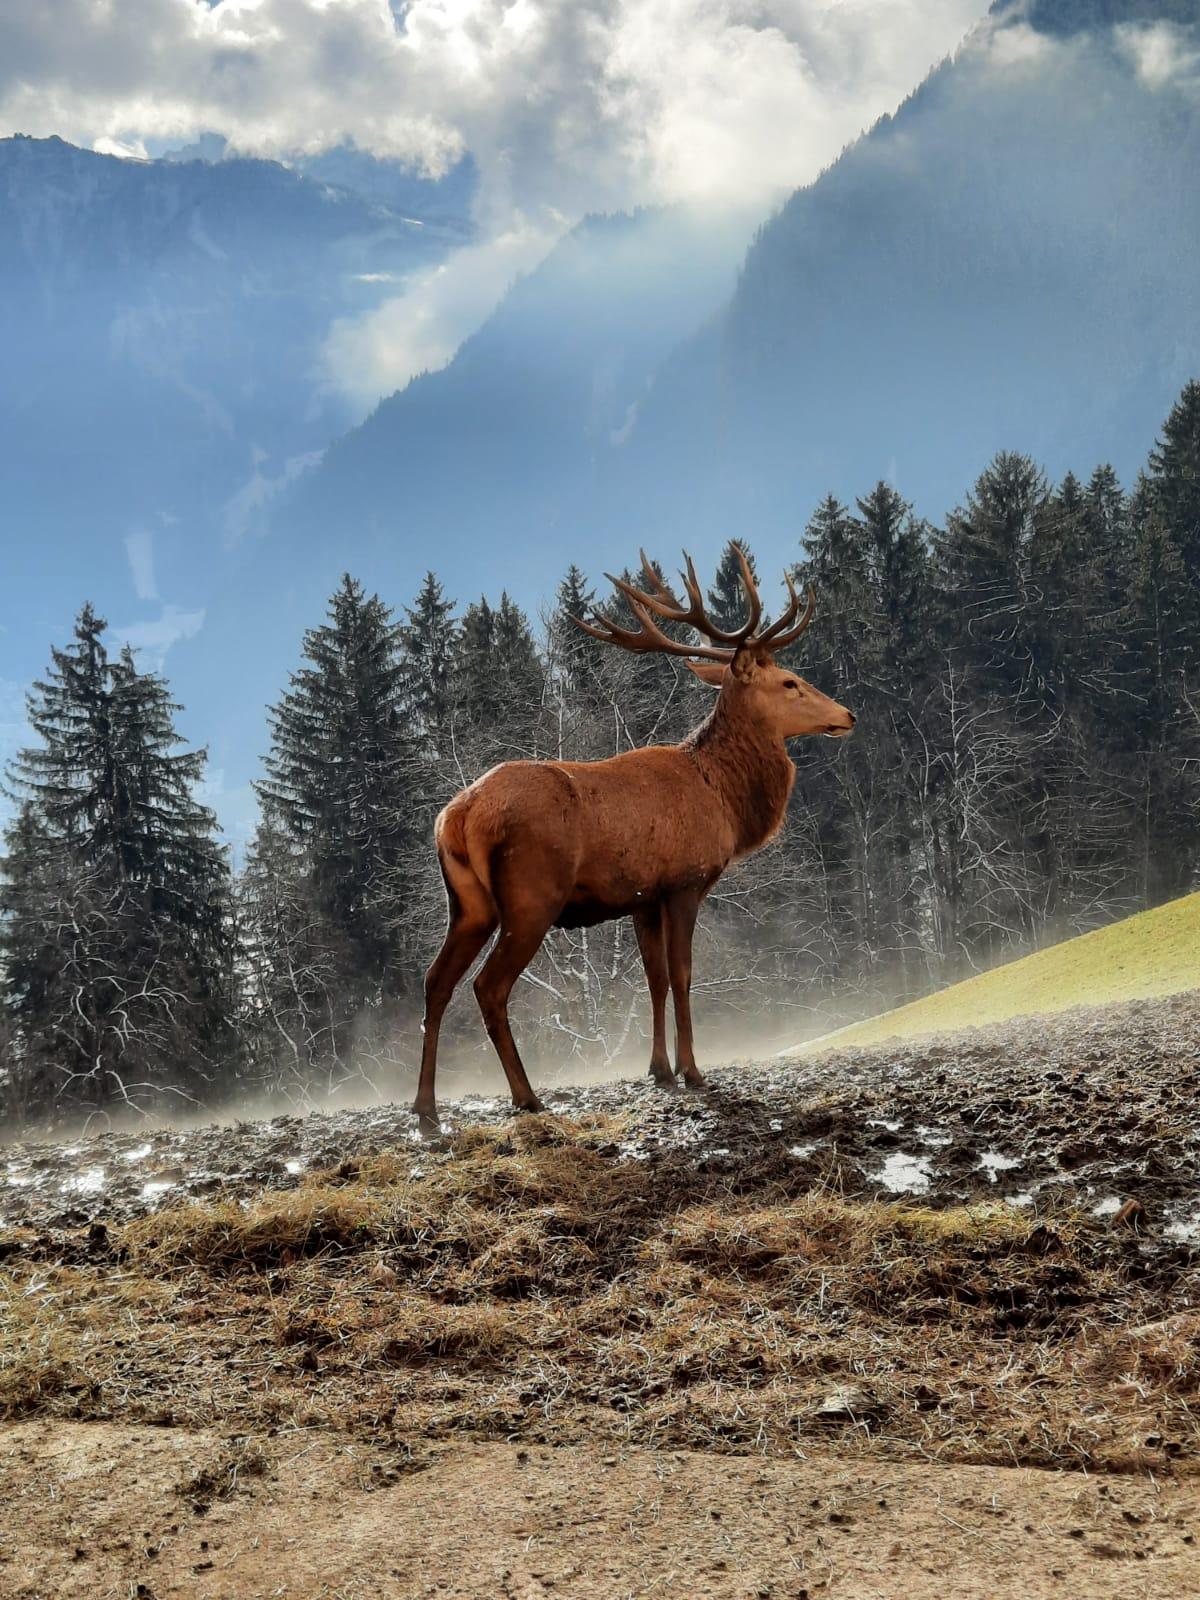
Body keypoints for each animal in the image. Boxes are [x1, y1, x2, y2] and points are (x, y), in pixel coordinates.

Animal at [412, 544, 857, 1132]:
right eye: (789, 682)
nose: (848, 714)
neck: (723, 798)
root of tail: (457, 815)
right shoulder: (685, 881)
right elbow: (684, 975)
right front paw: (693, 1071)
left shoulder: (642, 898)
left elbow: (655, 980)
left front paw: (659, 1069)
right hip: (531, 896)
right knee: (488, 987)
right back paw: (527, 1097)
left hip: (468, 904)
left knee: (435, 980)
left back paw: (425, 1109)